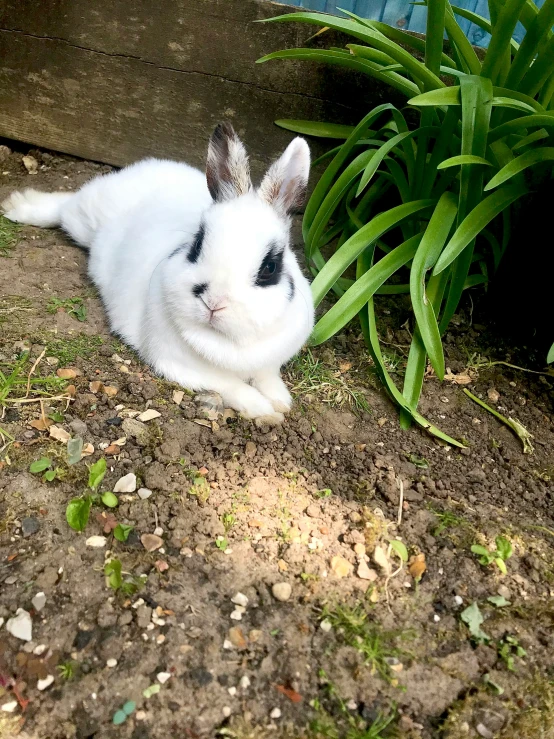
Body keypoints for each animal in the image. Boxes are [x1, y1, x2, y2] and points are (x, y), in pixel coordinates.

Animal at [2, 124, 314, 424]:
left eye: (269, 268)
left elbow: (267, 377)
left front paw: (281, 401)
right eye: (197, 244)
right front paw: (263, 409)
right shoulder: (183, 366)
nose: (213, 303)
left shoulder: (269, 363)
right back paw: (17, 206)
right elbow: (232, 387)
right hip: (84, 217)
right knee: (63, 207)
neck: (228, 343)